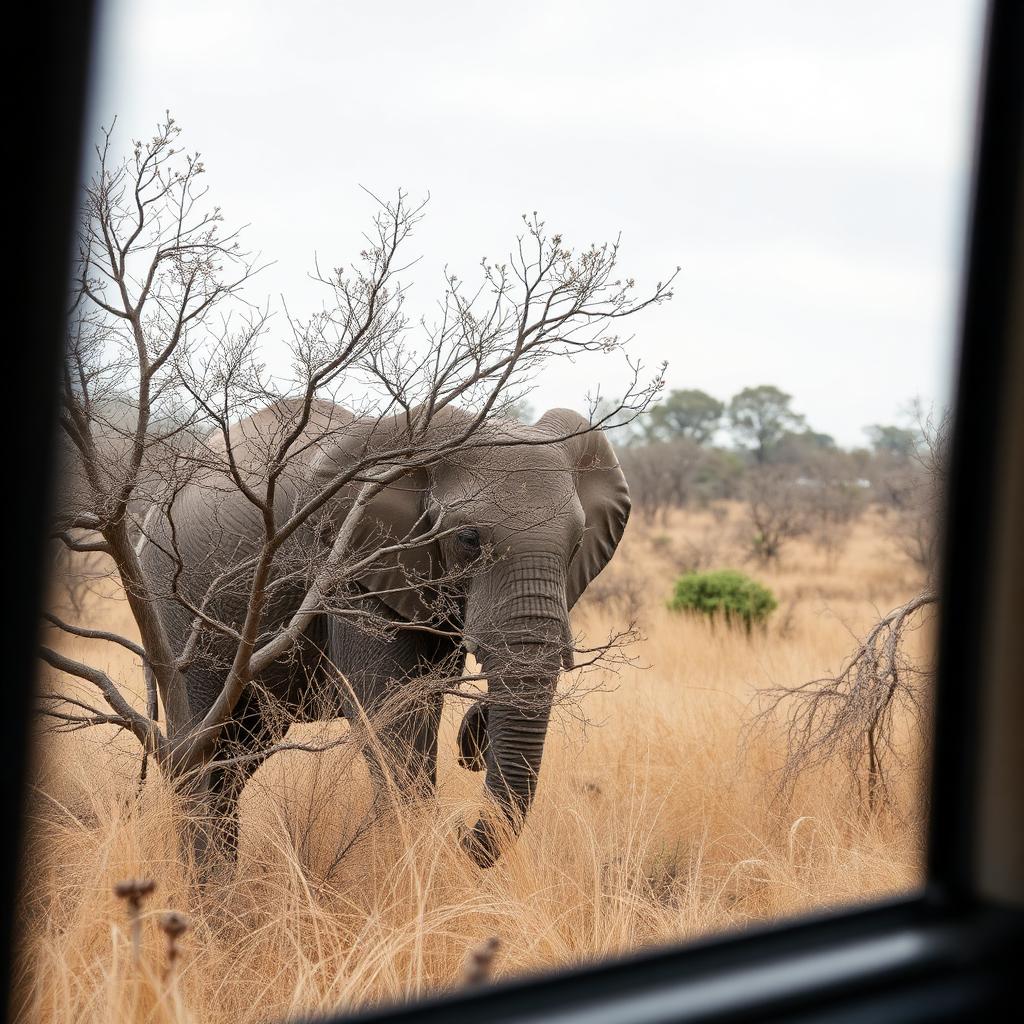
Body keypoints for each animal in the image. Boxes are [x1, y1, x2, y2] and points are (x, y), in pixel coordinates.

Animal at [138, 399, 630, 866]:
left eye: (577, 542)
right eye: (468, 539)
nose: (473, 740)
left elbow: (421, 701)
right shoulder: (348, 564)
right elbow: (390, 718)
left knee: (236, 757)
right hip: (176, 602)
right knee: (205, 749)